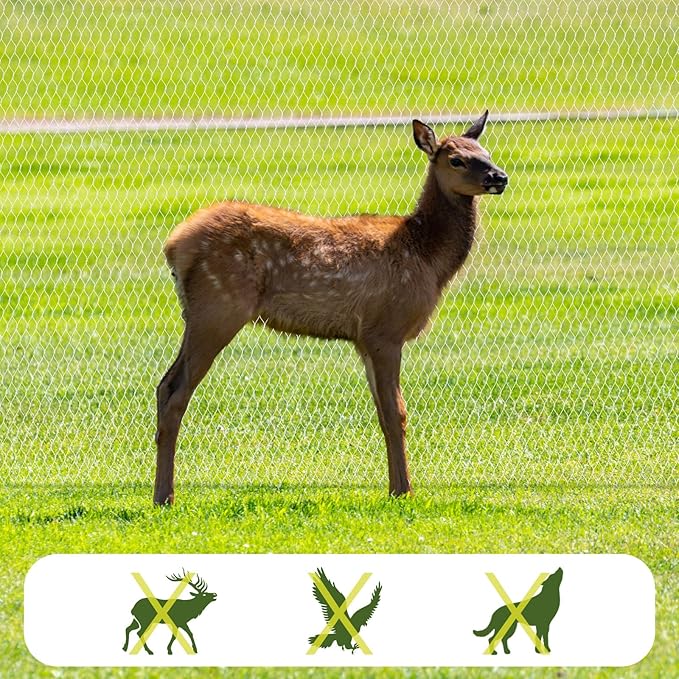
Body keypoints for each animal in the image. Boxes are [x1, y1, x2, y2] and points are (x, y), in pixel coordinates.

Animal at [154, 111, 508, 505]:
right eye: (456, 159)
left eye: (486, 152)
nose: (499, 177)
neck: (426, 258)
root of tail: (175, 245)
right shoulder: (385, 328)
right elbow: (396, 413)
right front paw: (403, 491)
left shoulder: (363, 338)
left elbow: (383, 414)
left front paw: (394, 487)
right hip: (218, 308)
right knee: (175, 392)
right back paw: (165, 497)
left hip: (200, 313)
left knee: (163, 386)